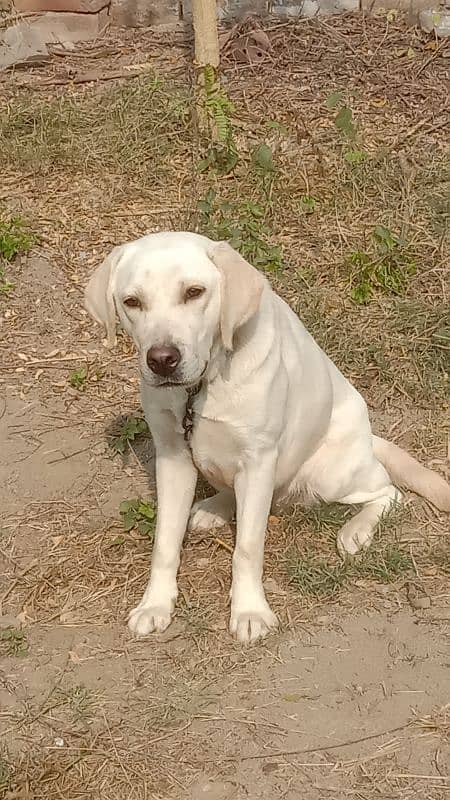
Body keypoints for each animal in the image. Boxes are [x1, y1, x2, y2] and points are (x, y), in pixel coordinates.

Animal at [85, 231, 450, 644]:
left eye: (194, 292)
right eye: (132, 301)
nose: (162, 359)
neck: (201, 386)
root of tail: (371, 438)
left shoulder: (259, 460)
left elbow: (247, 547)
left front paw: (249, 611)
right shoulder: (173, 456)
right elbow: (165, 542)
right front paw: (155, 604)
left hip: (328, 475)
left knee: (388, 492)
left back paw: (355, 531)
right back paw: (214, 508)